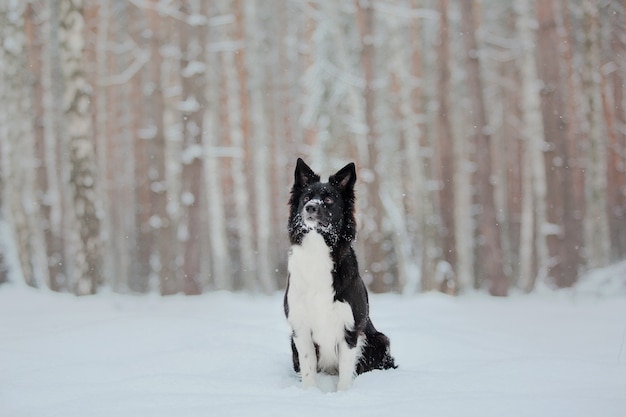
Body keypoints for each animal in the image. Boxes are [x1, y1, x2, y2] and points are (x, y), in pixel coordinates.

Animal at [282, 158, 394, 388]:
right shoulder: (300, 327)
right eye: (306, 198)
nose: (310, 207)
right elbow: (307, 367)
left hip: (379, 340)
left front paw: (343, 394)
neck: (317, 248)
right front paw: (309, 392)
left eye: (328, 199)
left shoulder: (350, 327)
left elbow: (345, 370)